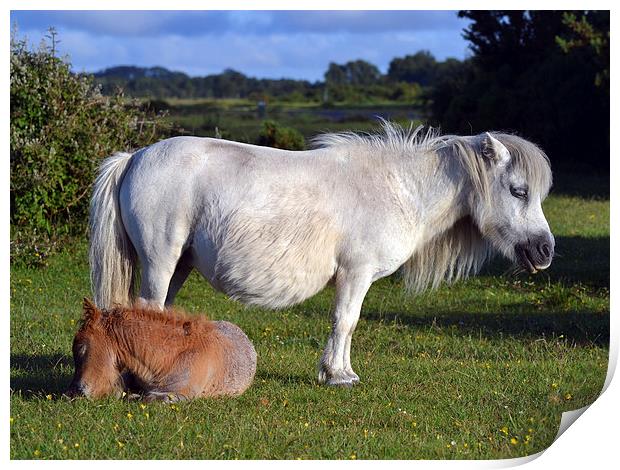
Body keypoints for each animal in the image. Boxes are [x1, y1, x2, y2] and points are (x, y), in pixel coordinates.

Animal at [89, 123, 556, 388]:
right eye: (519, 191)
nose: (545, 250)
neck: (398, 188)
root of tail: (134, 157)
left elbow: (347, 325)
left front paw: (341, 371)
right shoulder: (356, 274)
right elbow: (345, 321)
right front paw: (338, 376)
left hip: (179, 265)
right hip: (161, 261)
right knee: (149, 309)